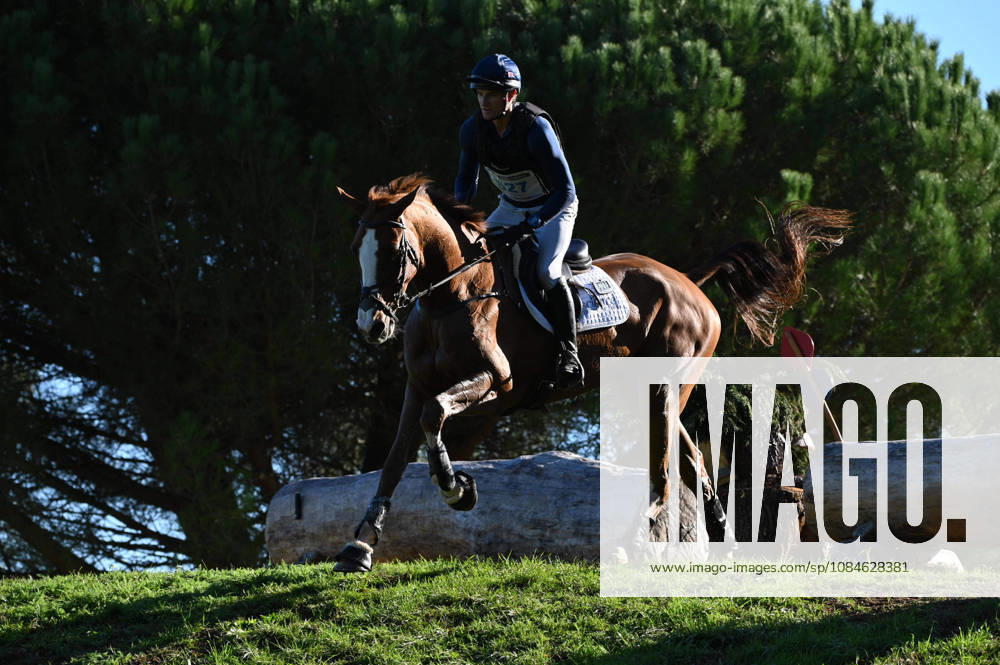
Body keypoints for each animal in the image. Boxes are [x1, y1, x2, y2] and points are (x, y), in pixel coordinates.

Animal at [334, 173, 851, 572]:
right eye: (356, 246)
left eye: (394, 249)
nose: (371, 325)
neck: (452, 296)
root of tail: (689, 281)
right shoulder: (416, 389)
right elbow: (396, 459)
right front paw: (359, 546)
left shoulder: (497, 386)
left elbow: (435, 419)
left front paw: (457, 490)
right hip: (654, 391)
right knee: (692, 459)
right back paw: (722, 537)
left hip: (663, 386)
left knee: (664, 467)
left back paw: (638, 538)